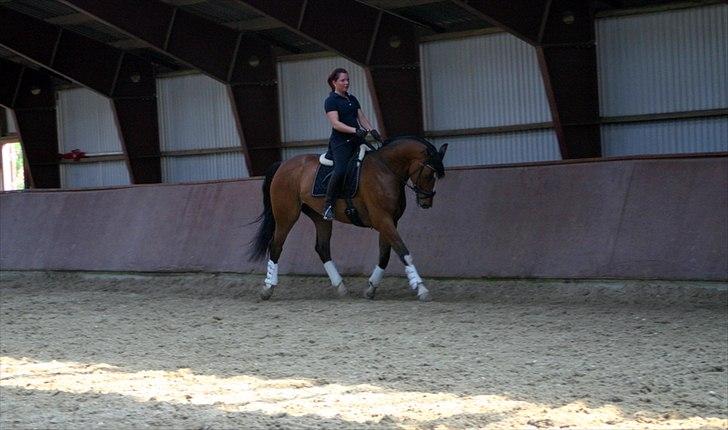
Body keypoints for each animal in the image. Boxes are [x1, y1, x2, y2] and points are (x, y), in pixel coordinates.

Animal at [247, 138, 446, 302]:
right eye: (429, 174)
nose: (426, 202)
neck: (386, 170)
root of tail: (283, 164)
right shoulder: (382, 219)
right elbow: (403, 251)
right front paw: (421, 288)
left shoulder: (390, 221)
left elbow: (385, 255)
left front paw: (371, 288)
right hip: (286, 215)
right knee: (276, 246)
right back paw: (268, 288)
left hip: (320, 217)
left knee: (322, 248)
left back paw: (340, 287)